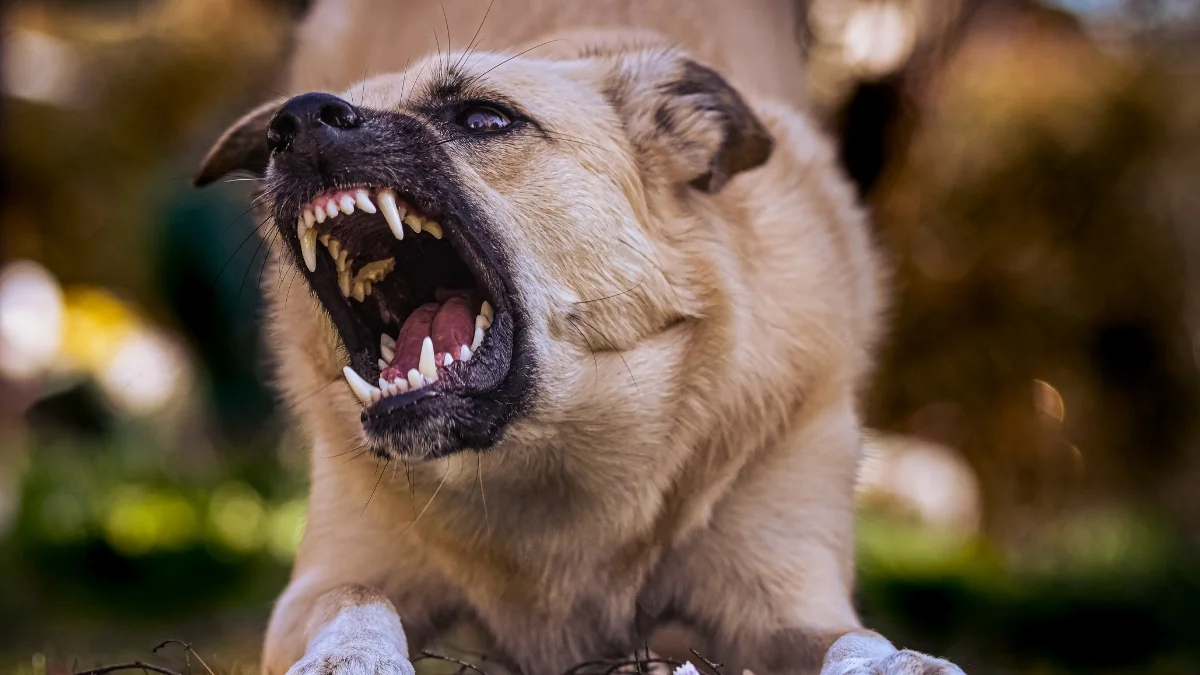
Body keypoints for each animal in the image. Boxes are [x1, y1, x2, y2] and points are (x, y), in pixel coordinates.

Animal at [194, 1, 964, 672]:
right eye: (282, 131)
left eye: (484, 116)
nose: (294, 122)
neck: (551, 463)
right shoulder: (326, 579)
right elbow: (356, 596)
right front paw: (349, 657)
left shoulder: (787, 599)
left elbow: (854, 638)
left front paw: (904, 662)